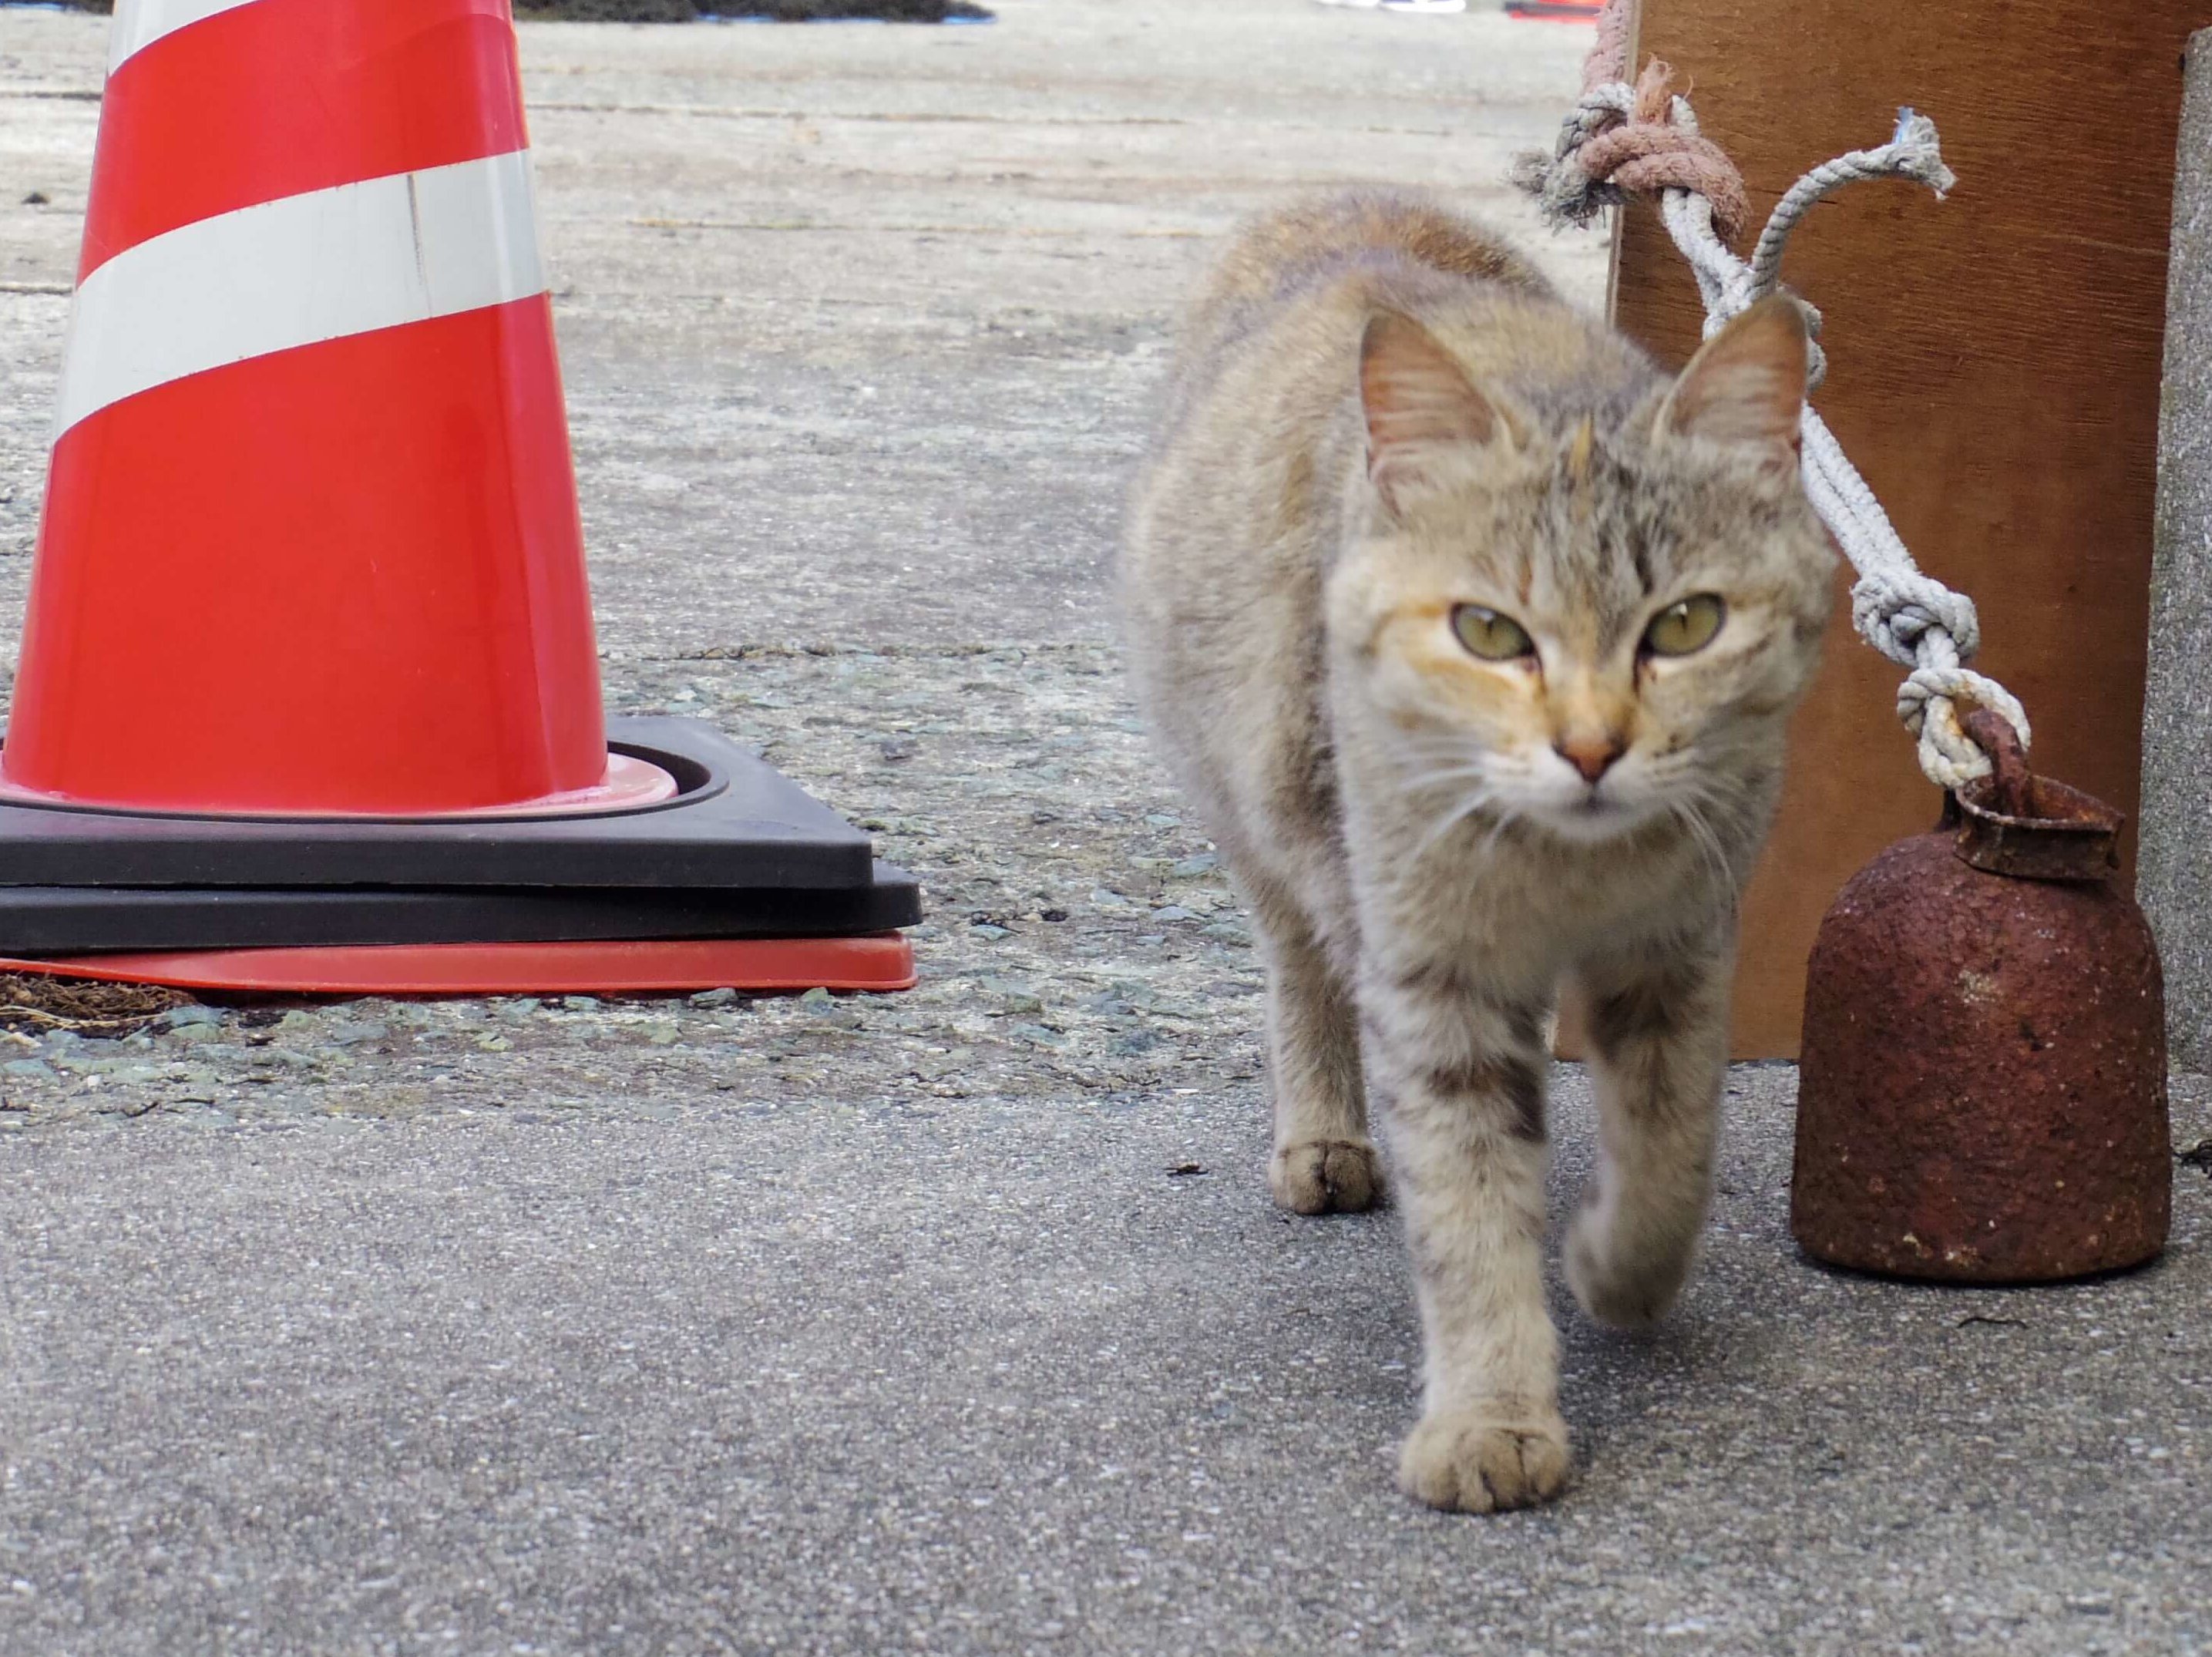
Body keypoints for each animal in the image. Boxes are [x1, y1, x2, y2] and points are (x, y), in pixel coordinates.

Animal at [1123, 193, 1831, 1513]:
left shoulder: (1681, 947)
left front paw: (1618, 1265)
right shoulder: (1433, 977)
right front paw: (1490, 1412)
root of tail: (1335, 201)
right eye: (1489, 633)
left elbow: (1675, 1140)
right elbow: (1467, 1198)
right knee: (1301, 968)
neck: (1569, 870)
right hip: (1267, 814)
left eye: (1686, 624)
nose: (1591, 745)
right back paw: (1325, 1133)